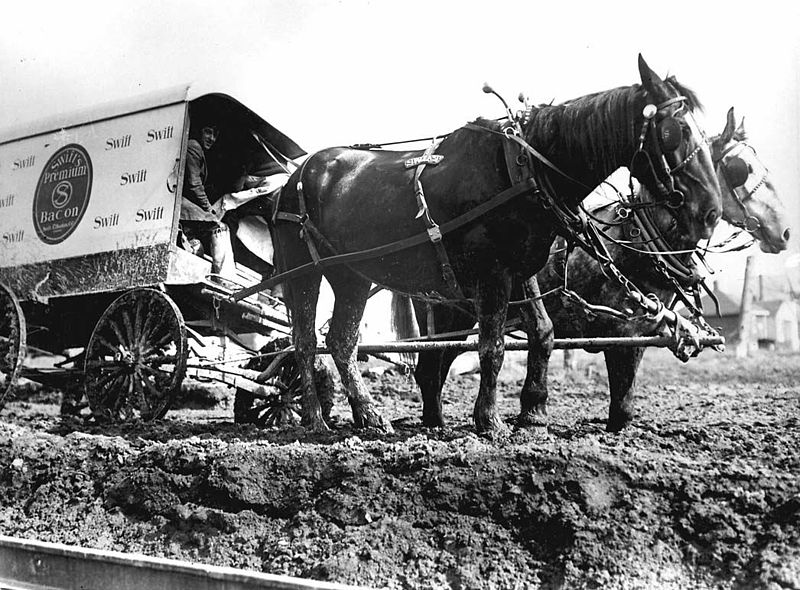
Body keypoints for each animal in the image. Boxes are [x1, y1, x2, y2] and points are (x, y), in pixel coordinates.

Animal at [272, 55, 720, 434]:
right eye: (675, 130)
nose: (710, 212)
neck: (523, 170)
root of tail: (294, 177)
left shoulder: (522, 270)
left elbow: (544, 332)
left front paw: (533, 414)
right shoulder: (494, 275)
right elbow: (494, 346)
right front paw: (490, 421)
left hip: (351, 275)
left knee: (342, 342)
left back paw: (369, 416)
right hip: (305, 273)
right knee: (305, 342)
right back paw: (311, 418)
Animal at [400, 106, 788, 432]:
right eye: (741, 169)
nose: (784, 232)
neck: (638, 240)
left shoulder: (640, 335)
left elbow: (624, 408)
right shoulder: (624, 336)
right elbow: (622, 411)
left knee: (433, 368)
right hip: (449, 316)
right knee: (431, 367)